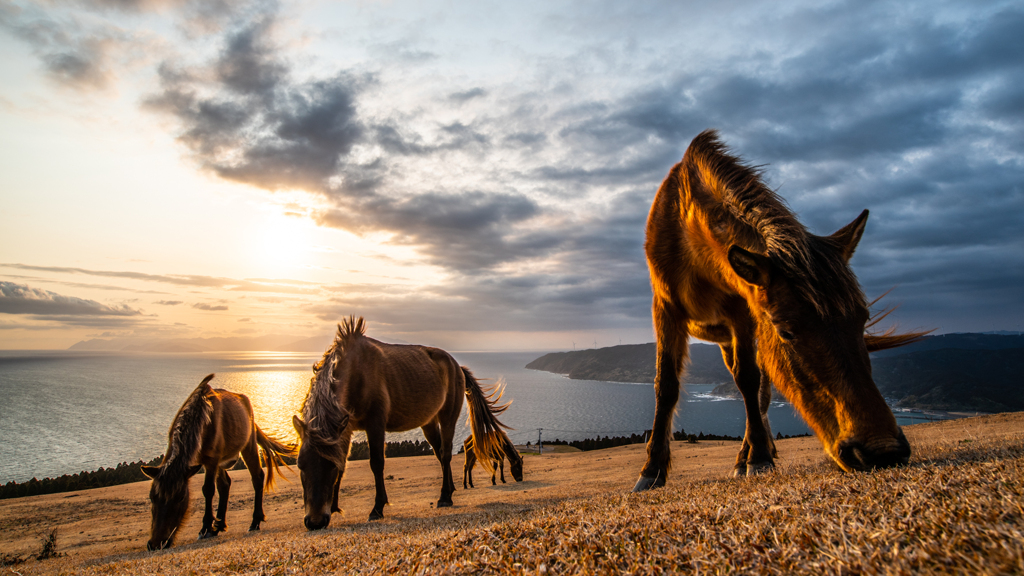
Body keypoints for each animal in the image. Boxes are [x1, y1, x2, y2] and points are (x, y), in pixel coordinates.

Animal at [139, 373, 296, 545]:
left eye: (180, 497)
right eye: (152, 497)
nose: (156, 543)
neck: (200, 418)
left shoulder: (211, 460)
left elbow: (208, 489)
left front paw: (205, 528)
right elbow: (218, 487)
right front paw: (212, 526)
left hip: (248, 444)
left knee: (257, 477)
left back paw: (255, 521)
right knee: (225, 484)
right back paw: (219, 525)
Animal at [290, 315, 512, 528]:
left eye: (330, 466)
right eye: (300, 465)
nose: (315, 521)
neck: (355, 371)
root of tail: (457, 366)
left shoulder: (375, 424)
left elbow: (376, 463)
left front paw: (377, 508)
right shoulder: (345, 427)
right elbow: (344, 461)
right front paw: (335, 506)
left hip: (448, 416)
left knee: (446, 453)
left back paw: (444, 497)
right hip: (428, 423)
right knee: (440, 453)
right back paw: (450, 490)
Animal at [630, 129, 929, 487]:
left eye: (862, 320)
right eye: (786, 330)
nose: (883, 451)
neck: (692, 238)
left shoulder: (744, 314)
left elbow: (749, 382)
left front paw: (758, 457)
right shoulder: (666, 309)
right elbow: (665, 385)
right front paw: (651, 471)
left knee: (759, 390)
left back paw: (752, 453)